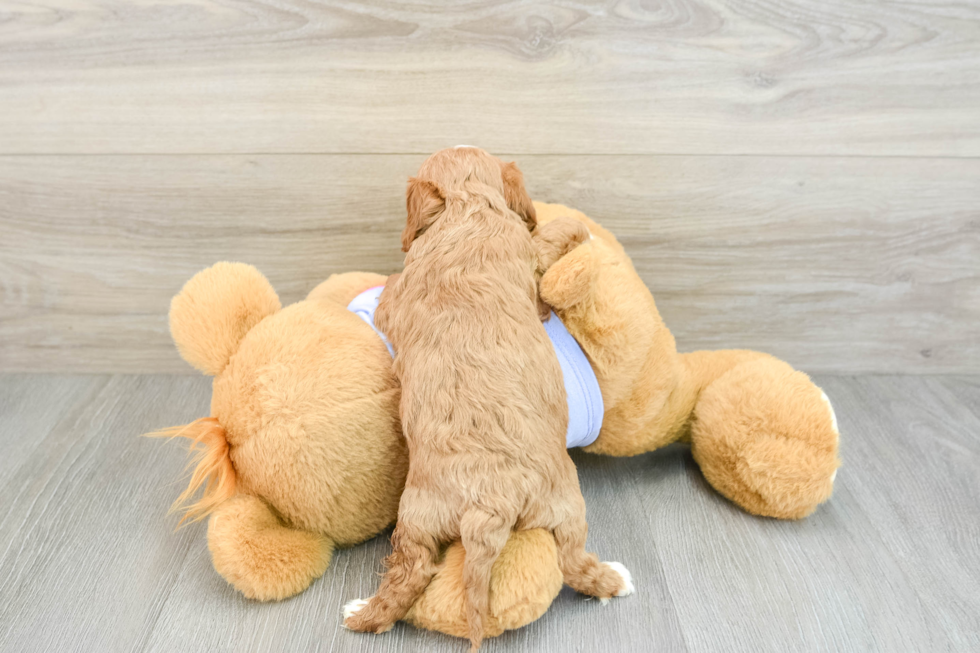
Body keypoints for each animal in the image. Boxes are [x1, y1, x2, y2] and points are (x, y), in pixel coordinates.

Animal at [344, 146, 636, 648]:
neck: (468, 208)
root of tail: (490, 506)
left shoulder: (398, 298)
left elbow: (388, 296)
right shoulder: (527, 253)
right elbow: (548, 240)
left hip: (418, 517)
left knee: (411, 571)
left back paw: (360, 613)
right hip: (565, 506)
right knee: (573, 562)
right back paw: (616, 581)